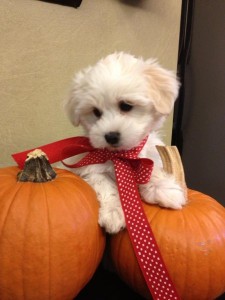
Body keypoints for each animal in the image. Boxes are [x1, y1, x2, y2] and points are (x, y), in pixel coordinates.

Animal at [63, 52, 186, 233]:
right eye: (96, 112)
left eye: (126, 105)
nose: (111, 136)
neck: (122, 156)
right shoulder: (91, 169)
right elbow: (106, 185)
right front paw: (113, 213)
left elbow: (151, 169)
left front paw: (164, 189)